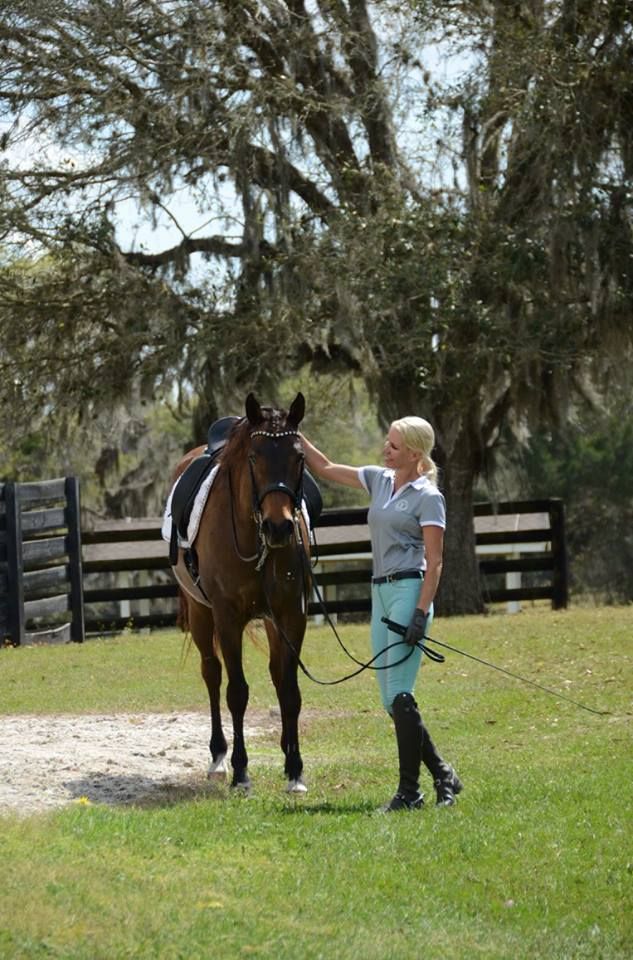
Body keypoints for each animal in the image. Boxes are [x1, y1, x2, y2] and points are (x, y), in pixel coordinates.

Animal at [171, 392, 311, 794]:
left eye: (299, 457)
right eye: (254, 456)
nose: (280, 527)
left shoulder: (291, 616)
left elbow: (290, 690)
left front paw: (295, 768)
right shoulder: (227, 618)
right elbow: (237, 692)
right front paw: (241, 771)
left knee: (277, 675)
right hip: (201, 615)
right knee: (212, 673)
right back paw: (219, 757)